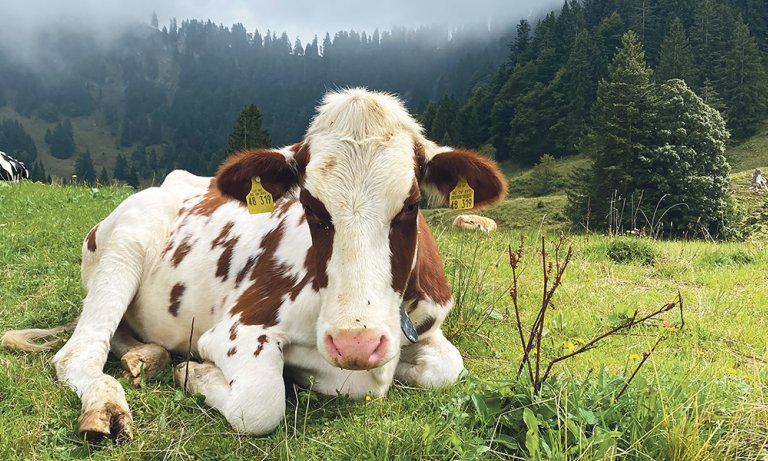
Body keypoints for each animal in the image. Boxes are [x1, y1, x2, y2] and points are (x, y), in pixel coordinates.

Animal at [1, 88, 507, 441]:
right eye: (311, 205)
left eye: (412, 205)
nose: (356, 343)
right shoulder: (236, 330)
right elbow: (261, 405)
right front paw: (196, 373)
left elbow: (448, 367)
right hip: (125, 246)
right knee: (79, 351)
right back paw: (108, 404)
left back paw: (147, 356)